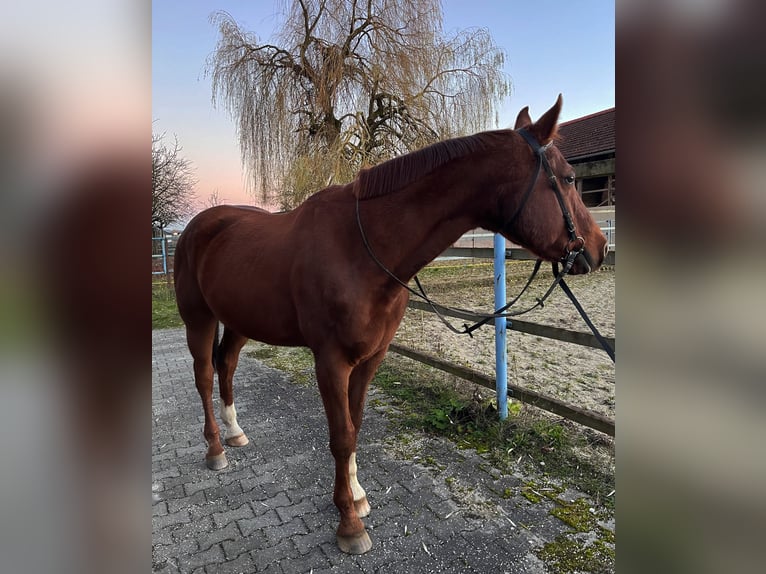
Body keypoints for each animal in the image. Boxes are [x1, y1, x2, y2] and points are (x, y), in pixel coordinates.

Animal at [176, 97, 612, 556]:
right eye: (568, 179)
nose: (600, 248)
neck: (360, 248)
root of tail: (193, 229)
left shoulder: (370, 358)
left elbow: (355, 424)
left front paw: (355, 497)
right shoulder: (330, 362)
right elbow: (341, 435)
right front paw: (349, 525)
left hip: (239, 321)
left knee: (226, 367)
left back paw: (236, 433)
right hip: (199, 319)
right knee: (204, 376)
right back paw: (215, 449)